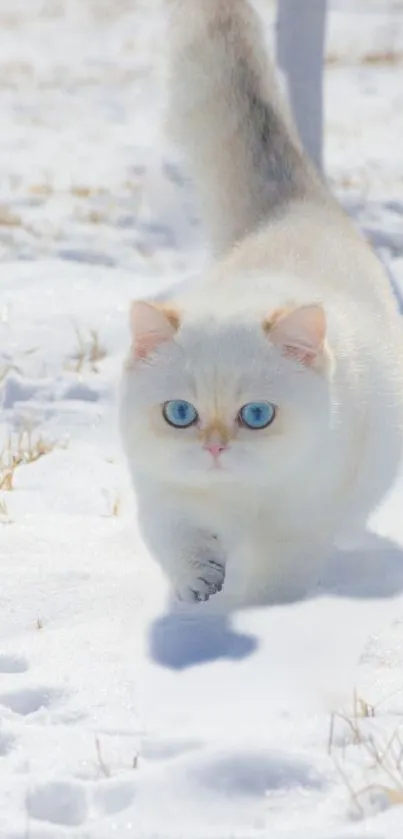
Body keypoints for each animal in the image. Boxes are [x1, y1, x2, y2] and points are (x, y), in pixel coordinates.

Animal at [120, 0, 403, 608]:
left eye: (256, 416)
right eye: (180, 414)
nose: (215, 448)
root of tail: (297, 207)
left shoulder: (296, 529)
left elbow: (272, 584)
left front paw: (249, 614)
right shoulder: (164, 499)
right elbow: (181, 545)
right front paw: (200, 594)